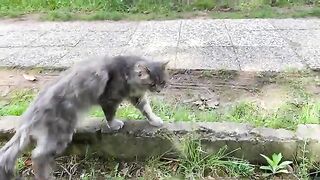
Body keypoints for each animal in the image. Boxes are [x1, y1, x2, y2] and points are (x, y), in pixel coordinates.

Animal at [0, 55, 169, 179]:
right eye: (152, 84)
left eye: (162, 82)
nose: (159, 90)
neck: (127, 72)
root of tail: (30, 114)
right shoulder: (109, 99)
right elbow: (110, 115)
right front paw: (114, 125)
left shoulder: (137, 97)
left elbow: (147, 110)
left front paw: (155, 121)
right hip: (60, 134)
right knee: (37, 155)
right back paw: (46, 176)